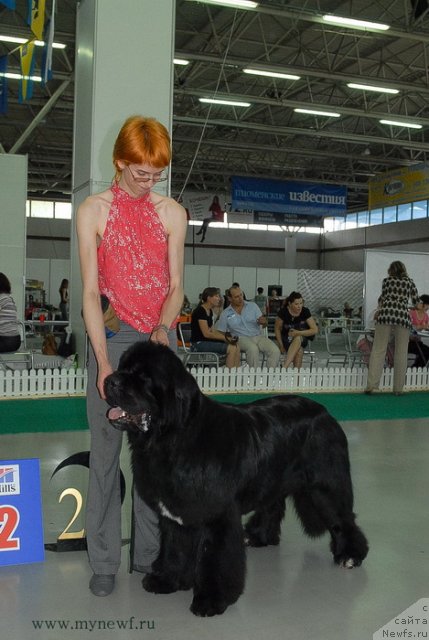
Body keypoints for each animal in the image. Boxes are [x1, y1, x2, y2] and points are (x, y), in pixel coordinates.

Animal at [104, 342, 368, 616]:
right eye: (122, 367)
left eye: (143, 376)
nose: (109, 380)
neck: (174, 438)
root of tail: (325, 413)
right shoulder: (174, 514)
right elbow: (174, 547)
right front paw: (166, 579)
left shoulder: (218, 516)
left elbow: (215, 559)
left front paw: (210, 600)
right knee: (272, 505)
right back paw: (258, 536)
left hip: (324, 486)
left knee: (342, 517)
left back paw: (350, 555)